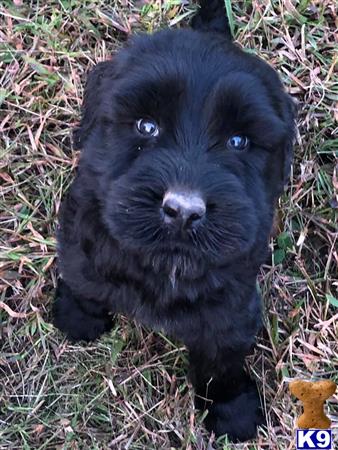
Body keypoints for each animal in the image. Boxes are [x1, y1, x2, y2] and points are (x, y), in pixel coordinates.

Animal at [53, 0, 296, 442]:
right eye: (146, 126)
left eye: (239, 141)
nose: (183, 210)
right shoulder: (84, 232)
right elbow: (83, 275)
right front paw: (78, 317)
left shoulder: (231, 304)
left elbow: (222, 356)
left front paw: (232, 410)